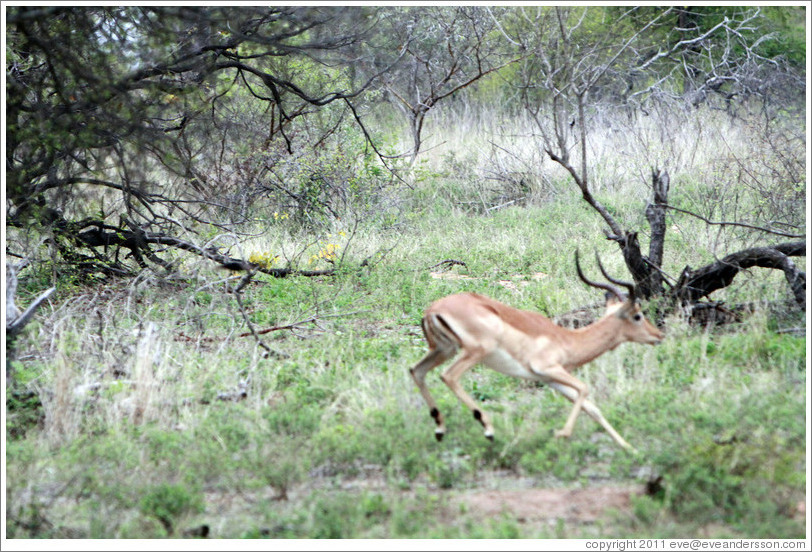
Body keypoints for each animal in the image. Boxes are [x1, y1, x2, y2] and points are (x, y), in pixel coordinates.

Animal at [409, 251, 664, 452]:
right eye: (637, 315)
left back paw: (440, 429)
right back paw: (488, 429)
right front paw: (562, 433)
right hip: (473, 352)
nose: (658, 335)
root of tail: (433, 309)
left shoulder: (550, 379)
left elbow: (592, 408)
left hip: (443, 349)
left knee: (416, 371)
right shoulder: (548, 368)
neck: (568, 340)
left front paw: (629, 448)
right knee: (448, 376)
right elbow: (585, 389)